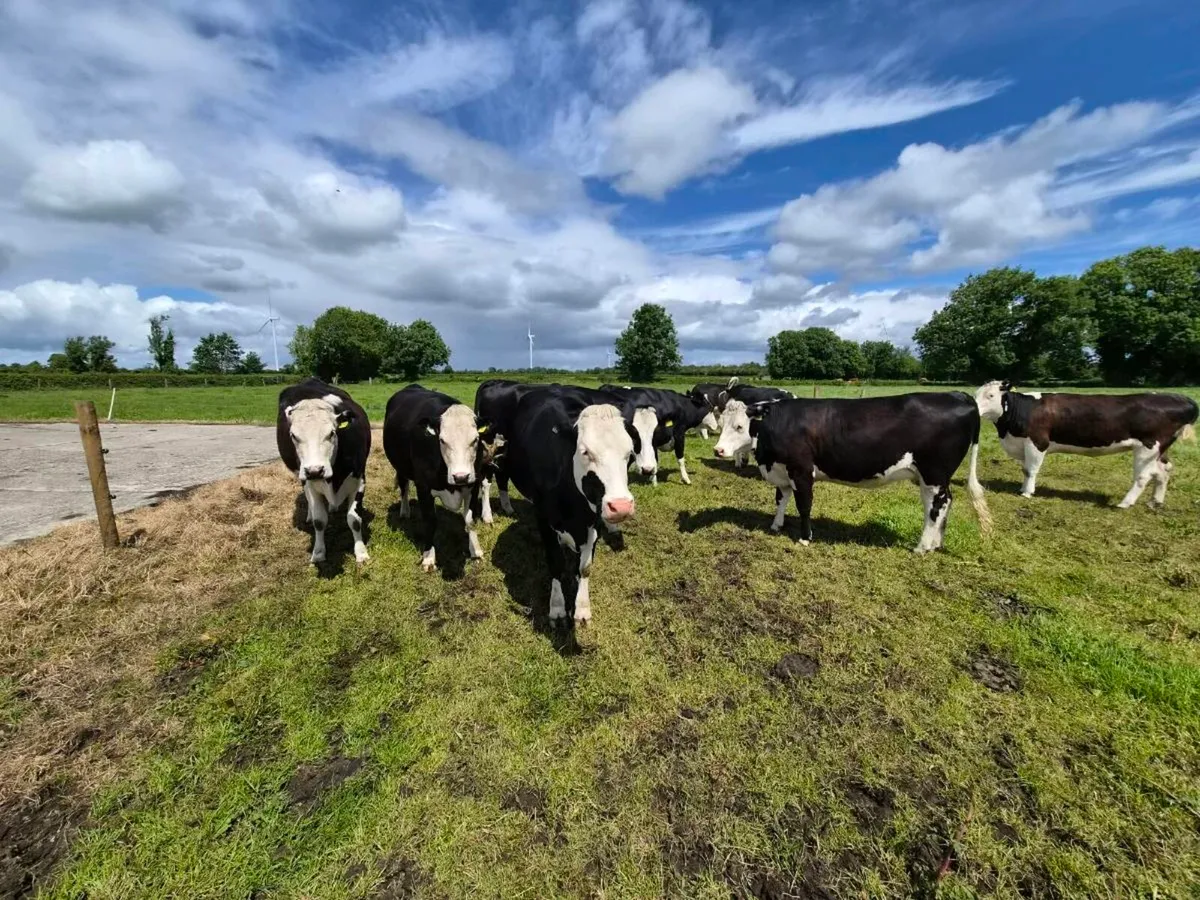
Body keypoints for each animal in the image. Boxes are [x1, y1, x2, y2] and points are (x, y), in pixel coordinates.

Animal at [276, 378, 370, 565]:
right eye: (293, 435)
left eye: (332, 433)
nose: (315, 470)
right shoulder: (310, 482)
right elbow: (319, 521)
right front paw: (318, 552)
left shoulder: (359, 478)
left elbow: (354, 519)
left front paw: (361, 552)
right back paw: (310, 514)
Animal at [382, 384, 486, 573]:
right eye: (442, 440)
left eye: (475, 439)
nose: (461, 477)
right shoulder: (423, 487)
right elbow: (430, 521)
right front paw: (429, 558)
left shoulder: (474, 484)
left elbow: (470, 520)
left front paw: (475, 550)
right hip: (400, 466)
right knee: (404, 487)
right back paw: (404, 511)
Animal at [503, 390, 638, 624]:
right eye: (585, 452)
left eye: (629, 453)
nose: (620, 506)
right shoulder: (543, 517)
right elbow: (555, 562)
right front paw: (557, 608)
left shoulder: (594, 520)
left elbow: (584, 567)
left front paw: (582, 608)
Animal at [714, 392, 992, 553]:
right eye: (722, 423)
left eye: (740, 427)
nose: (718, 450)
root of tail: (959, 396)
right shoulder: (782, 471)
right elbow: (781, 499)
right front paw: (776, 525)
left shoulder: (802, 471)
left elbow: (804, 505)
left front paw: (805, 538)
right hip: (930, 478)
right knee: (940, 505)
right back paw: (935, 543)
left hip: (934, 473)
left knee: (938, 506)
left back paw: (922, 547)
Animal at [975, 381, 1199, 508]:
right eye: (976, 393)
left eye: (991, 395)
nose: (974, 407)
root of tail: (1182, 399)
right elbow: (1025, 470)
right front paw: (1023, 488)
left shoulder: (1037, 442)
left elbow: (1030, 470)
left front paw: (1027, 492)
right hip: (1160, 450)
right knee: (1164, 471)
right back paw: (1155, 502)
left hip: (1147, 448)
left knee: (1144, 477)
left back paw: (1125, 503)